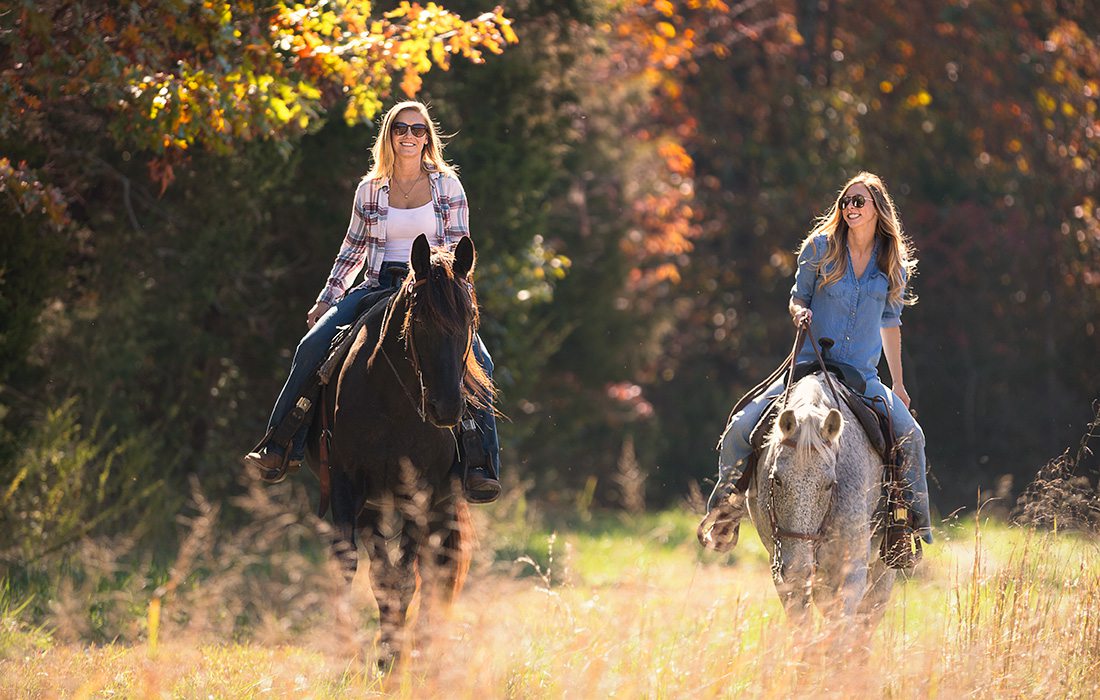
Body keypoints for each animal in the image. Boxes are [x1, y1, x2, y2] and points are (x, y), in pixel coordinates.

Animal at [303, 233, 488, 660]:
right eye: (420, 322)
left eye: (469, 320)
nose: (447, 408)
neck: (393, 401)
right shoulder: (347, 484)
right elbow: (354, 564)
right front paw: (355, 648)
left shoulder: (422, 494)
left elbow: (405, 574)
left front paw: (393, 653)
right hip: (375, 503)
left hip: (440, 502)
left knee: (435, 567)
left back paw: (422, 644)